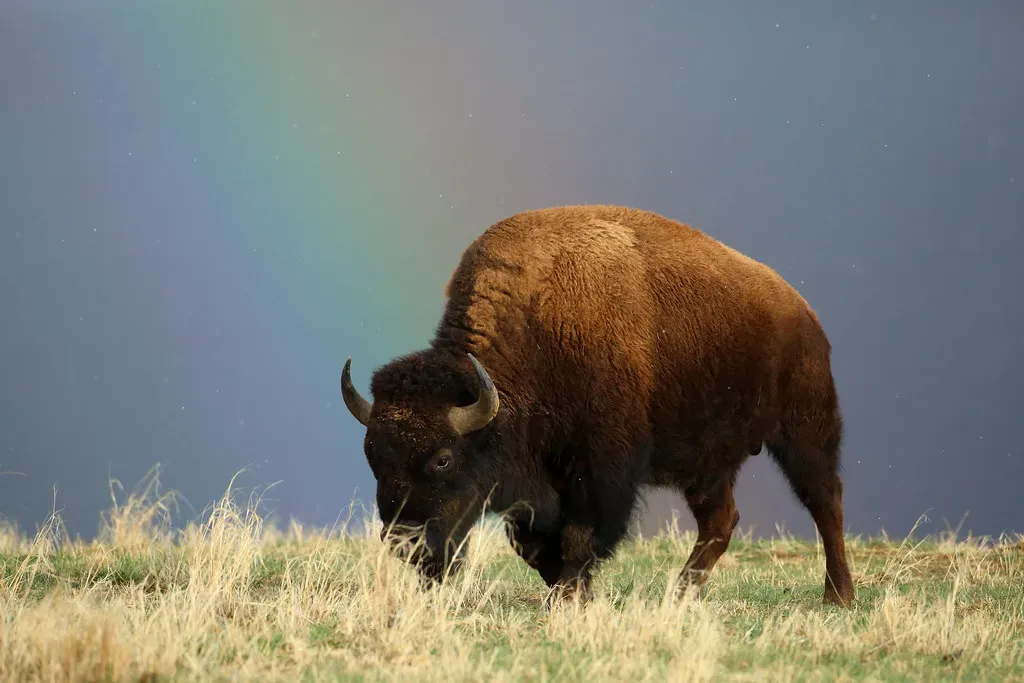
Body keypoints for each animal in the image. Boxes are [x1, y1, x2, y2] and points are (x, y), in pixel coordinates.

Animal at [341, 205, 855, 607]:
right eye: (373, 456)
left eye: (443, 459)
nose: (404, 543)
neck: (535, 329)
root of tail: (803, 314)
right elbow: (534, 545)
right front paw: (571, 593)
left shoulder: (600, 469)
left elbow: (579, 536)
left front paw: (571, 594)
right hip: (707, 465)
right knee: (720, 521)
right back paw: (678, 596)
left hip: (804, 432)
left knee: (825, 501)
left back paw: (839, 596)